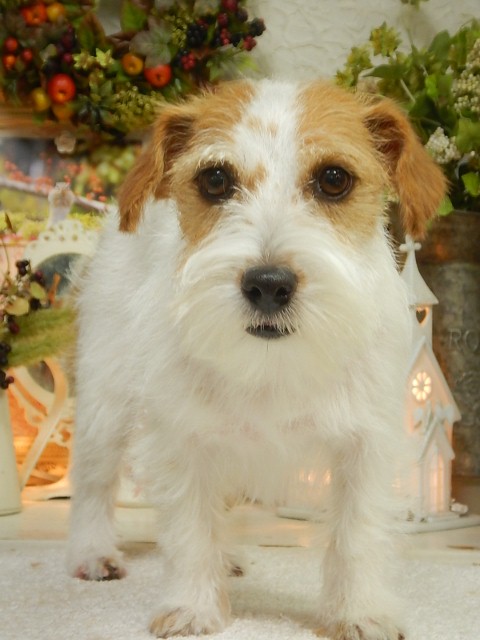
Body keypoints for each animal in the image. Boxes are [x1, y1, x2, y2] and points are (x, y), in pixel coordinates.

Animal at [67, 79, 446, 640]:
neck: (273, 363)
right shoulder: (184, 438)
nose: (268, 285)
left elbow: (356, 534)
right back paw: (92, 553)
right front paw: (193, 608)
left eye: (334, 179)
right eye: (215, 179)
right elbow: (189, 527)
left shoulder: (365, 445)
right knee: (95, 479)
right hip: (105, 400)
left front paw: (359, 613)